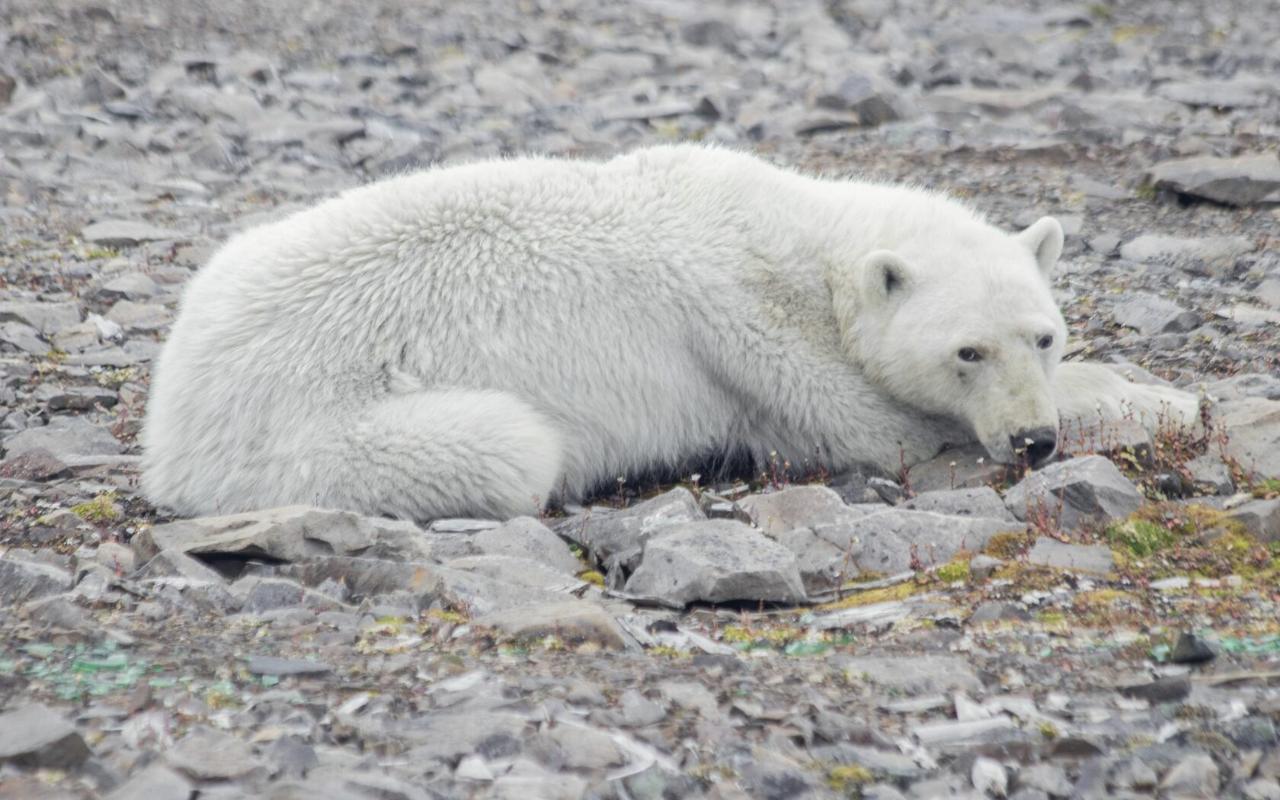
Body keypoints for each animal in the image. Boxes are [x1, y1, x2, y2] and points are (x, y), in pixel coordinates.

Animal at [142, 142, 1198, 517]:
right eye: (966, 351)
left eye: (1042, 336)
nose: (1031, 441)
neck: (792, 234)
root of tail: (169, 430)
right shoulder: (755, 342)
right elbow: (882, 430)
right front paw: (1152, 400)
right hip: (308, 439)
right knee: (508, 446)